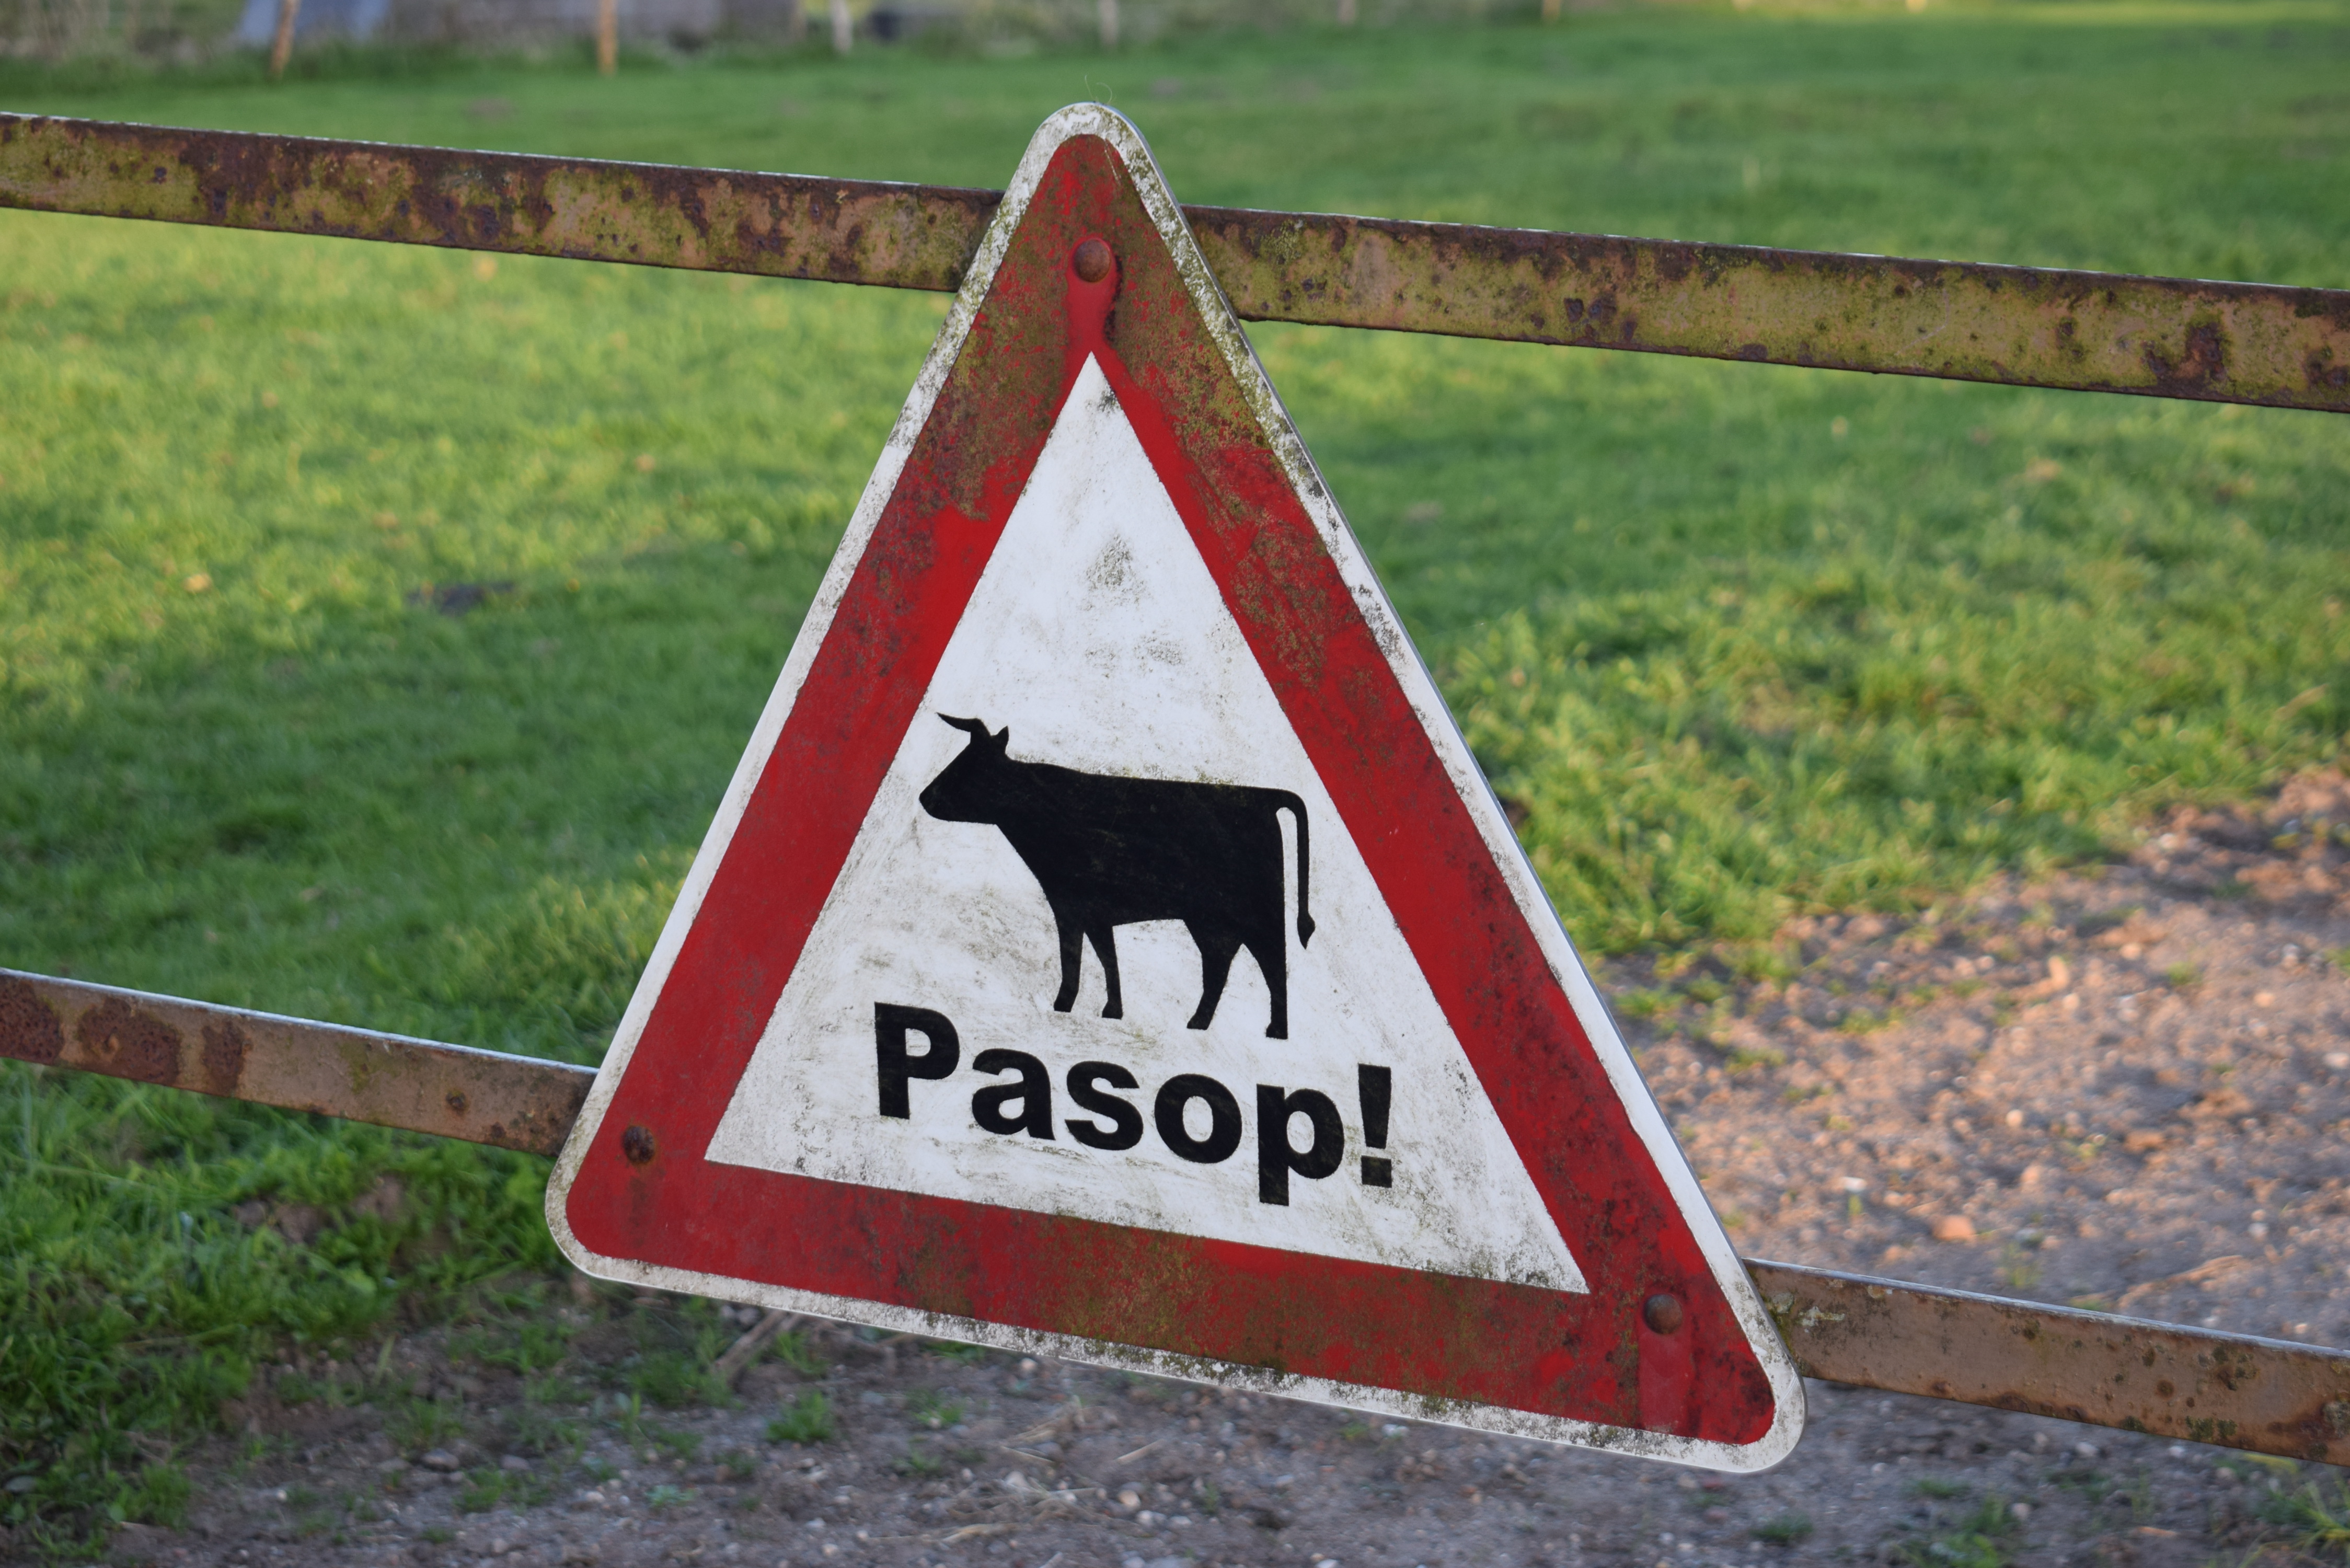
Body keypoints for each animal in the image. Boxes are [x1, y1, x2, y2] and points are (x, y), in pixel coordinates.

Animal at [917, 716, 1315, 1039]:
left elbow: (1074, 956)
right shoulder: (1092, 910)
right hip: (1207, 919)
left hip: (1258, 911)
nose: (924, 798)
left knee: (1273, 963)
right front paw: (1111, 1011)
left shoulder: (1071, 904)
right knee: (1220, 962)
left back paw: (1276, 1031)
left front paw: (1064, 1005)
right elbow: (1106, 957)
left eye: (969, 769)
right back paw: (1199, 1022)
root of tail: (1265, 798)